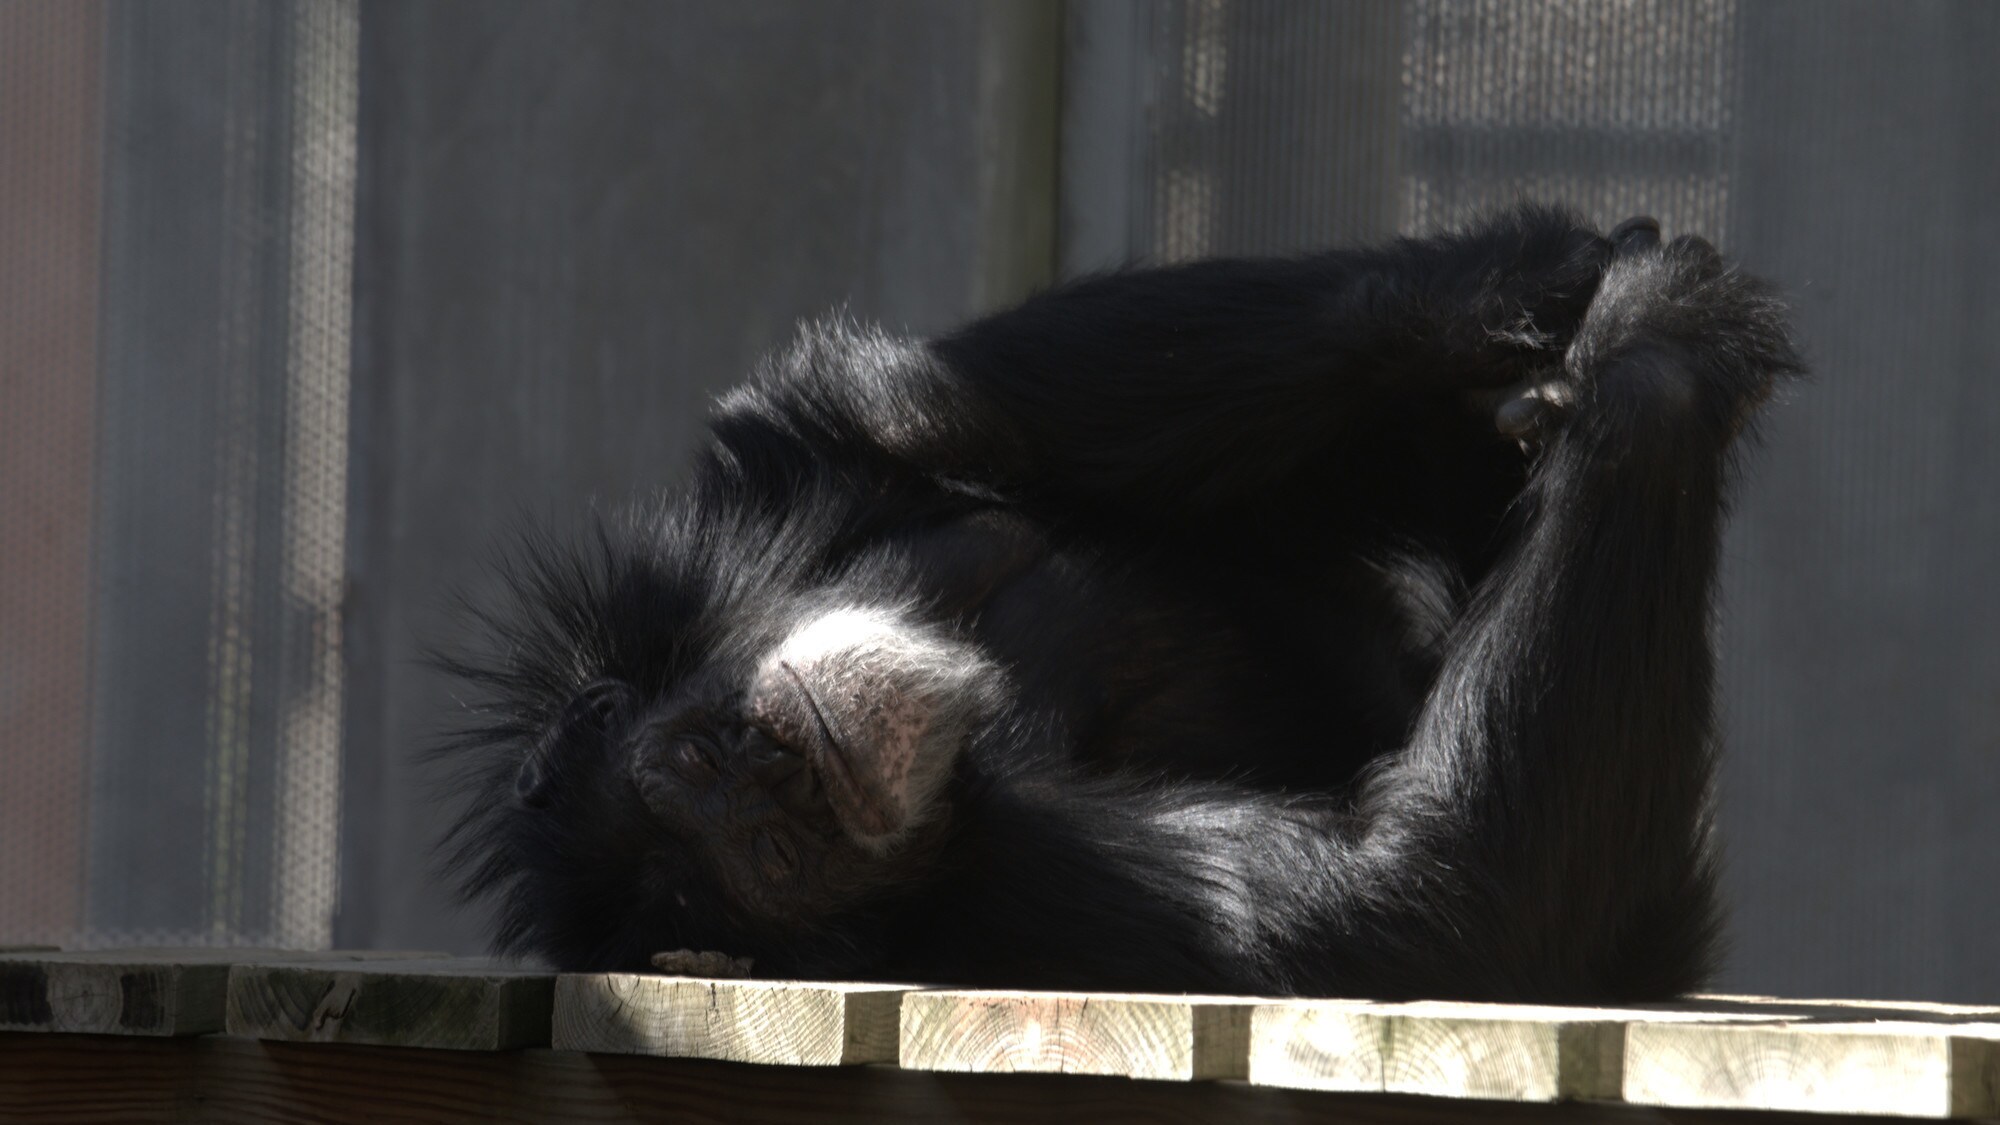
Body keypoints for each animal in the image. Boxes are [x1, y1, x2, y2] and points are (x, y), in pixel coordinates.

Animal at [434, 208, 1800, 996]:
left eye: (715, 757)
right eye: (775, 852)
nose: (789, 765)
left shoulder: (759, 494)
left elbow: (927, 404)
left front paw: (1523, 278)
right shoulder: (1040, 899)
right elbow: (1409, 900)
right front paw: (1653, 353)